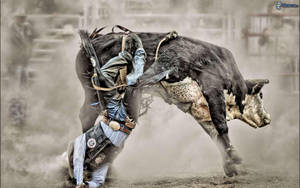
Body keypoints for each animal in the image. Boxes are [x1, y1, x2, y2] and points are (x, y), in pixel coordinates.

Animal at [74, 27, 270, 176]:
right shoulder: (211, 87)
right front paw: (234, 157)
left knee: (87, 115)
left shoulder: (200, 109)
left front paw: (230, 166)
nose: (267, 119)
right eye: (261, 95)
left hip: (91, 93)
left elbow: (215, 134)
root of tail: (91, 41)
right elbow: (221, 124)